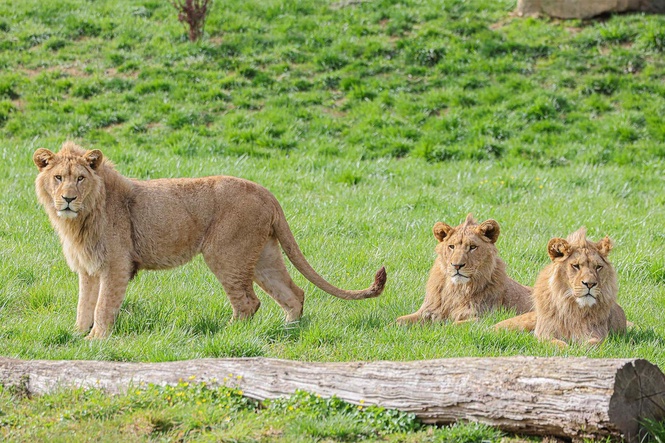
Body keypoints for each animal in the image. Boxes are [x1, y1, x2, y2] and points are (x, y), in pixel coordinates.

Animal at [33, 142, 386, 339]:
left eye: (80, 178)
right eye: (58, 177)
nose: (67, 198)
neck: (80, 220)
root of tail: (266, 192)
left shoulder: (117, 265)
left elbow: (104, 306)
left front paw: (96, 340)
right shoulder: (88, 268)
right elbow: (84, 305)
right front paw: (76, 336)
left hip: (225, 253)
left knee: (249, 302)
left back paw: (224, 336)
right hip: (263, 254)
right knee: (293, 293)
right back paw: (287, 332)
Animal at [395, 214, 532, 325]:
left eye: (472, 247)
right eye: (451, 246)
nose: (457, 265)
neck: (456, 290)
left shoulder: (485, 317)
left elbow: (451, 325)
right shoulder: (427, 311)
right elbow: (398, 320)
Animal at [494, 228, 626, 346]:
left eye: (598, 267)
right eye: (576, 266)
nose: (590, 284)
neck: (572, 307)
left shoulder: (598, 333)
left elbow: (593, 344)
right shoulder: (543, 333)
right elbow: (557, 344)